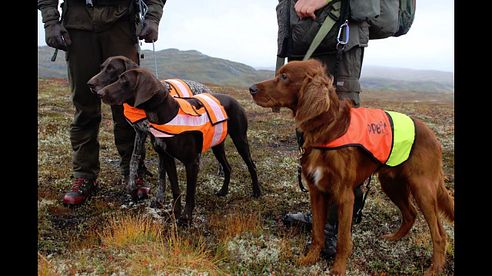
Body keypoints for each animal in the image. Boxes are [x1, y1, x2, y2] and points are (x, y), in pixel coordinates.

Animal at [250, 59, 454, 274]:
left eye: (284, 77)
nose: (251, 89)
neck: (326, 129)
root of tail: (432, 135)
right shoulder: (316, 191)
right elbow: (317, 233)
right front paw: (310, 258)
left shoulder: (344, 195)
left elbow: (342, 239)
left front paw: (338, 269)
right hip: (391, 183)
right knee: (410, 214)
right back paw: (393, 238)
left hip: (422, 188)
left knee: (439, 234)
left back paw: (434, 268)